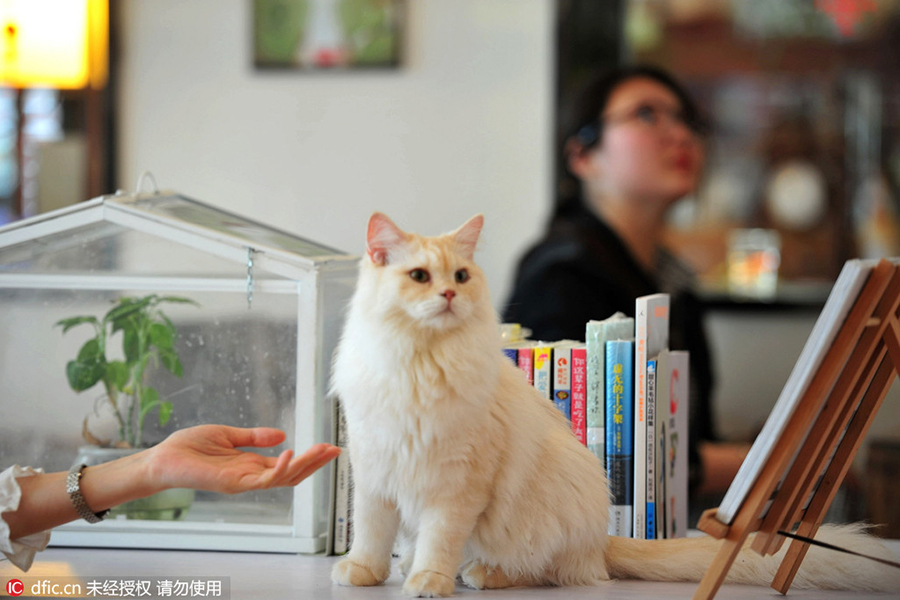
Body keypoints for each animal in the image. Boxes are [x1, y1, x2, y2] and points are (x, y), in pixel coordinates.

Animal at [332, 212, 900, 596]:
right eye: (420, 277)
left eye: (462, 278)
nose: (449, 296)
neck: (418, 362)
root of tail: (600, 540)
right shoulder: (374, 471)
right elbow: (371, 534)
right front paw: (365, 573)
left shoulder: (456, 487)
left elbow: (439, 540)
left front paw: (429, 581)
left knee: (545, 571)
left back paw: (478, 574)